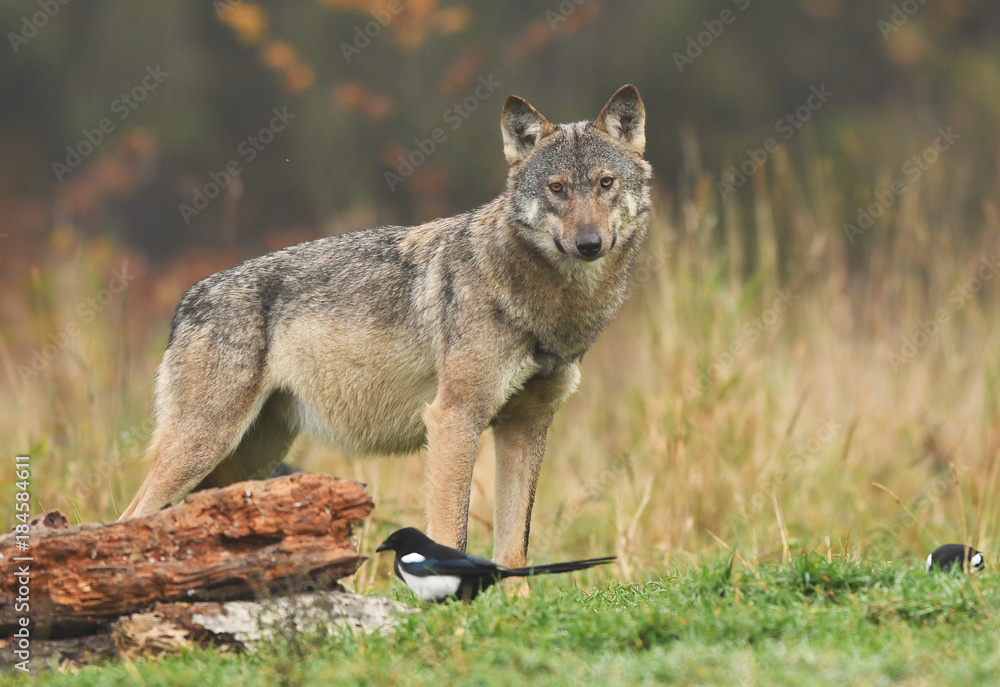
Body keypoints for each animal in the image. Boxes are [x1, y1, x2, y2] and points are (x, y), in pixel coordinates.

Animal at [121, 85, 652, 573]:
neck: (545, 302)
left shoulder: (527, 426)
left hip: (246, 462)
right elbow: (452, 534)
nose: (589, 243)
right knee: (127, 518)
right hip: (203, 447)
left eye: (605, 183)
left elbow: (514, 548)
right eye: (557, 188)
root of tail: (187, 299)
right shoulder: (453, 419)